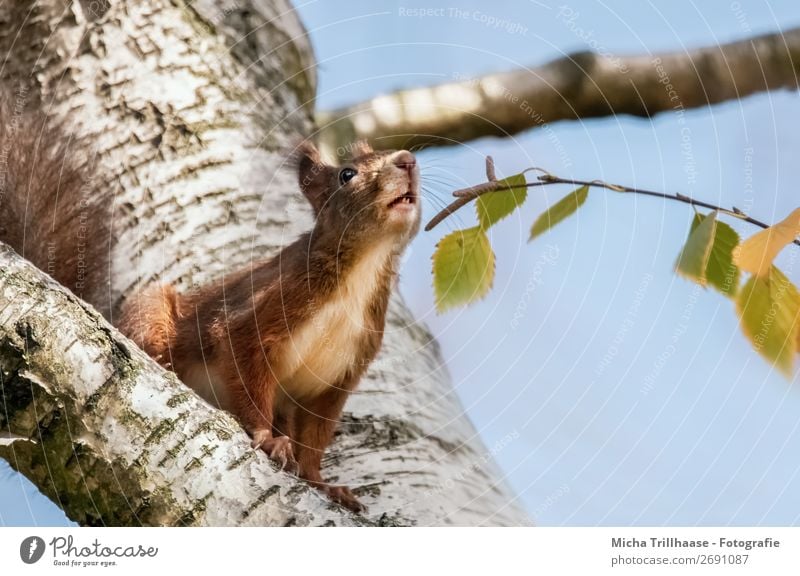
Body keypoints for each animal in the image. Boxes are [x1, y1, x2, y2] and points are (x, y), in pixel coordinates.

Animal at [0, 95, 422, 512]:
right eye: (347, 175)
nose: (408, 161)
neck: (362, 269)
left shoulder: (339, 376)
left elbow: (316, 438)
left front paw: (322, 483)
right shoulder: (267, 307)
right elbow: (243, 362)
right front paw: (267, 438)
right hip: (152, 311)